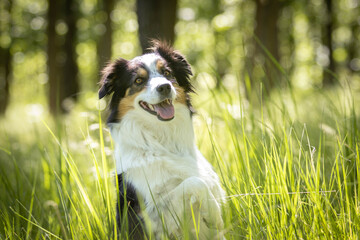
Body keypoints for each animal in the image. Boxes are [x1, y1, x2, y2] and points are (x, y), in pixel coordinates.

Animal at [98, 40, 225, 239]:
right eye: (138, 80)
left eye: (167, 73)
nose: (164, 87)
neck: (164, 141)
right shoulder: (151, 219)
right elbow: (194, 182)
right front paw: (214, 214)